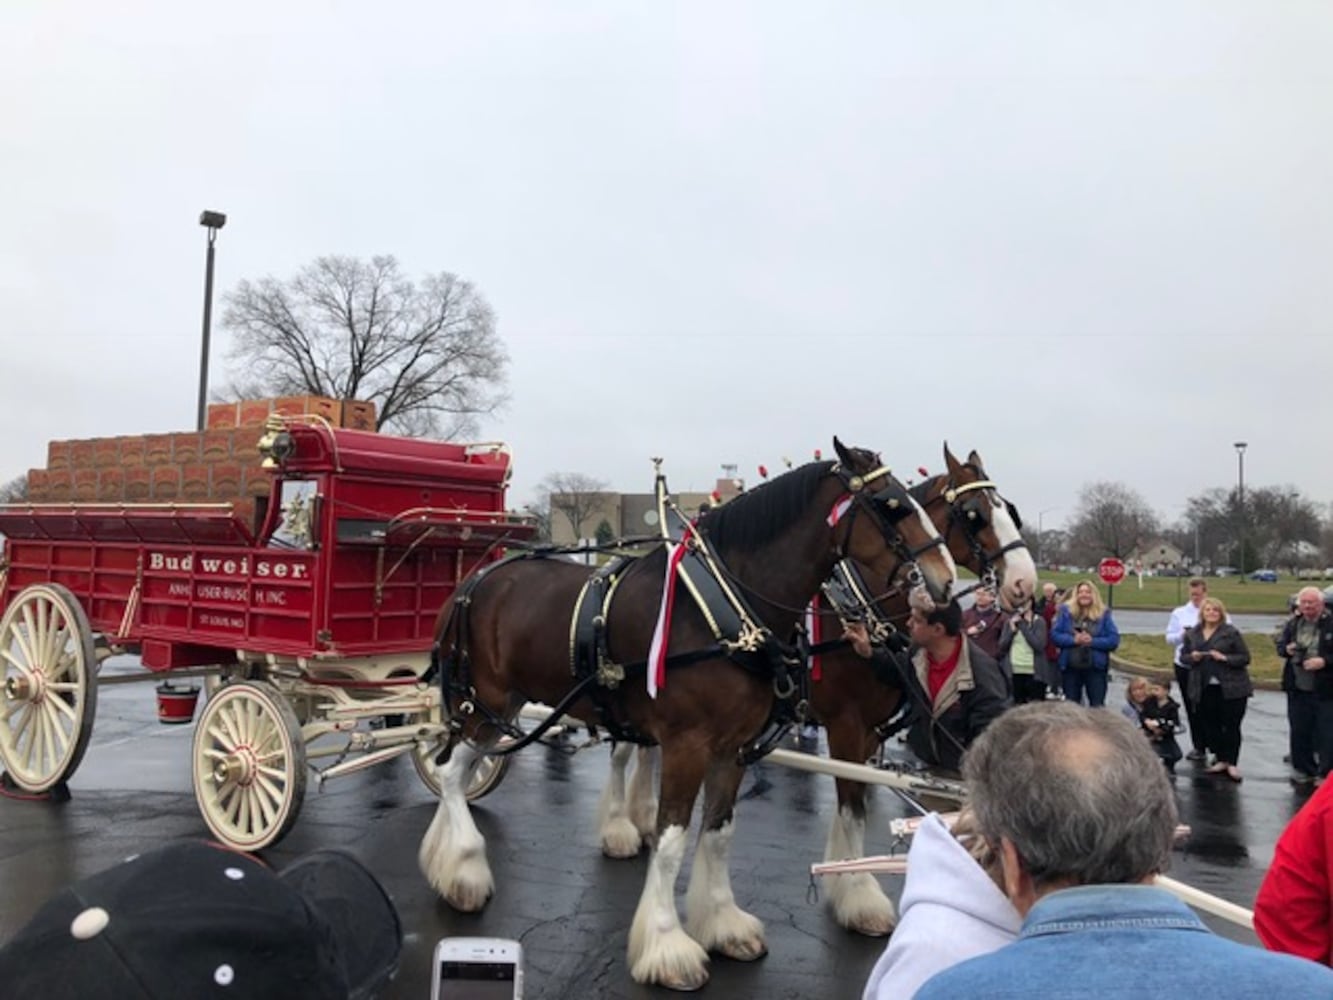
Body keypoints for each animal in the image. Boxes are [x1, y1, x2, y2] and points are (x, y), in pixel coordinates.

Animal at [421, 442, 954, 992]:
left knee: (456, 768)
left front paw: (722, 924)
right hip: (483, 701)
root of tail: (475, 580)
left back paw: (446, 860)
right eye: (892, 506)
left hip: (500, 705)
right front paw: (666, 947)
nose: (944, 581)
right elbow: (673, 840)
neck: (725, 612)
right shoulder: (690, 744)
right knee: (453, 772)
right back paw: (463, 870)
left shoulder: (734, 749)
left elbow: (718, 834)